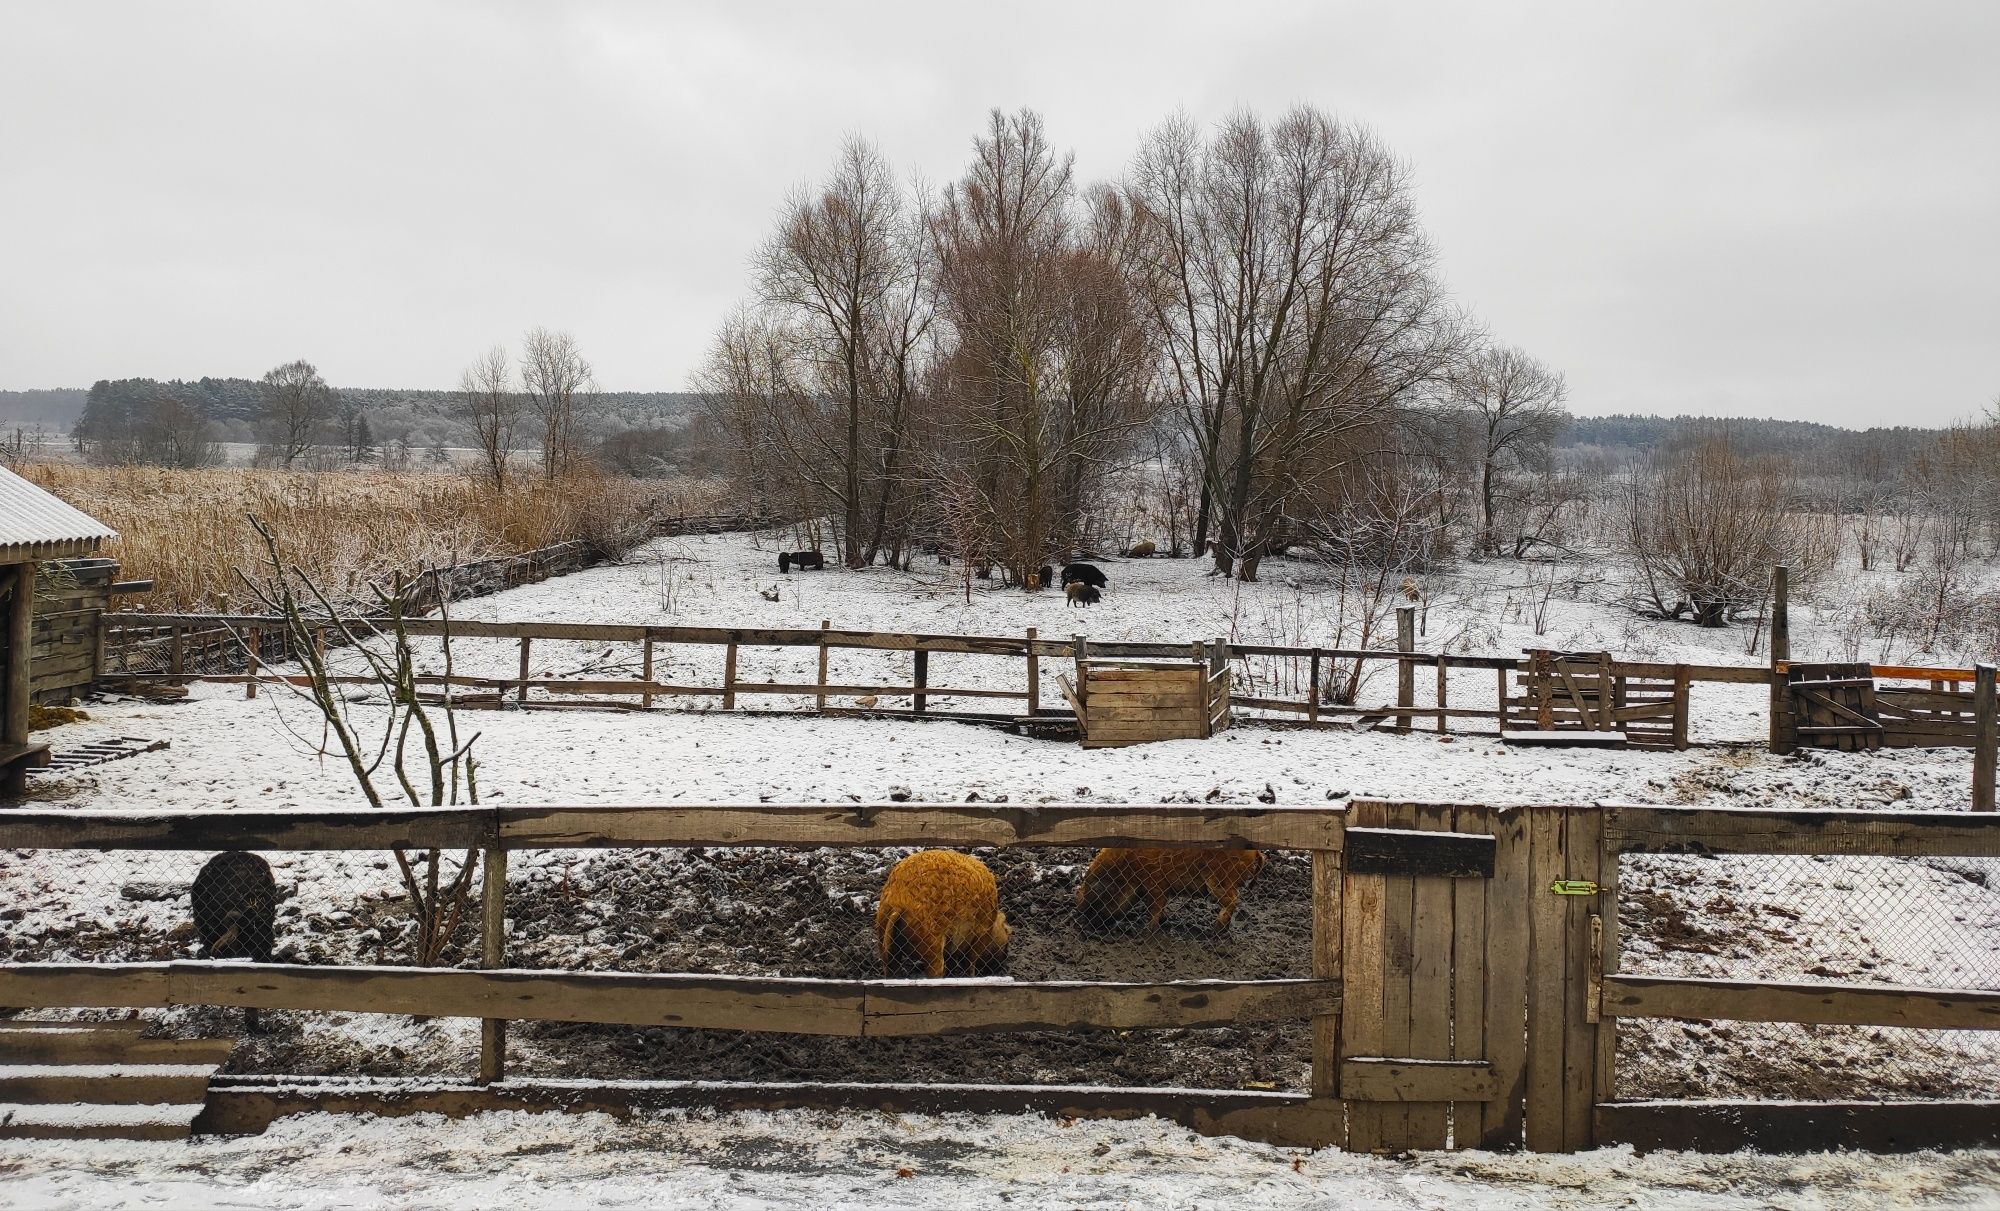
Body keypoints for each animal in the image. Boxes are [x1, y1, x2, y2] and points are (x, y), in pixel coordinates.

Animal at [876, 851, 1008, 983]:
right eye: (1007, 933)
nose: (1004, 962)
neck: (993, 925)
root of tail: (899, 902)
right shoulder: (981, 933)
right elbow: (970, 961)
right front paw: (971, 977)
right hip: (931, 937)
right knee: (935, 970)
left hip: (883, 935)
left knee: (891, 968)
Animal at [1080, 851, 1264, 935]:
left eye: (1099, 899)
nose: (1085, 927)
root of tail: (1254, 852)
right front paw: (1162, 921)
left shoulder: (1155, 883)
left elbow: (1155, 907)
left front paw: (1147, 931)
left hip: (1218, 881)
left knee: (1234, 899)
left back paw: (1216, 929)